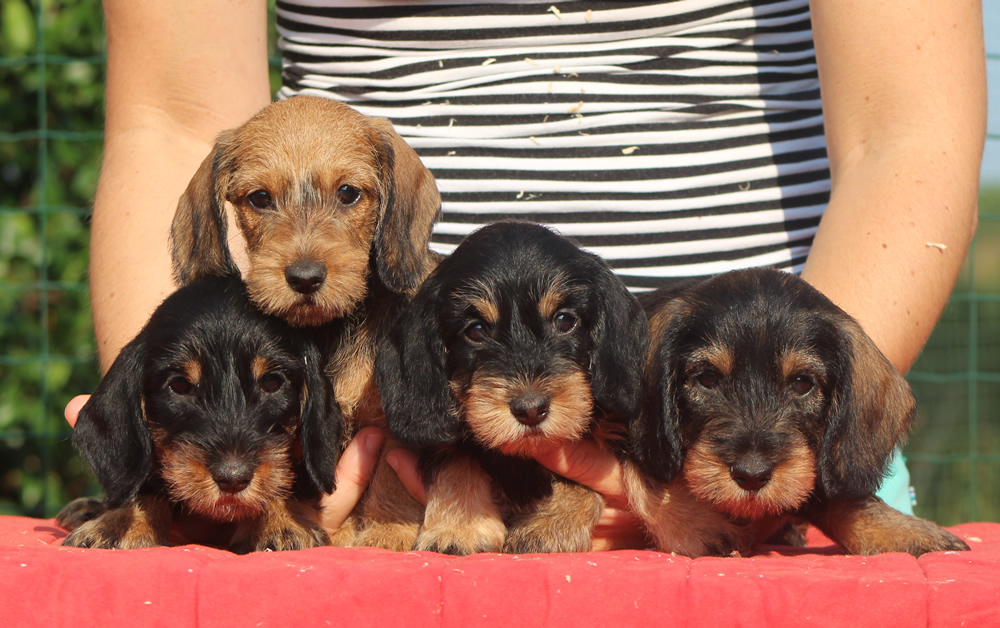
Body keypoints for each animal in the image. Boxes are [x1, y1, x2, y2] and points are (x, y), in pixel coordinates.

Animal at [170, 94, 440, 548]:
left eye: (348, 193)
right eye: (260, 198)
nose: (305, 277)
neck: (325, 333)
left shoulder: (390, 425)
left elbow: (391, 479)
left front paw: (387, 535)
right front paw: (279, 523)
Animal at [376, 221, 648, 556]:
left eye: (564, 320)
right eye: (476, 330)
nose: (530, 410)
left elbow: (579, 478)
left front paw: (549, 526)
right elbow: (457, 461)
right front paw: (459, 528)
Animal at [624, 268, 968, 556]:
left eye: (803, 382)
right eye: (707, 378)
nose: (751, 475)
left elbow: (834, 496)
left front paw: (905, 531)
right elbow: (644, 478)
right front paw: (697, 528)